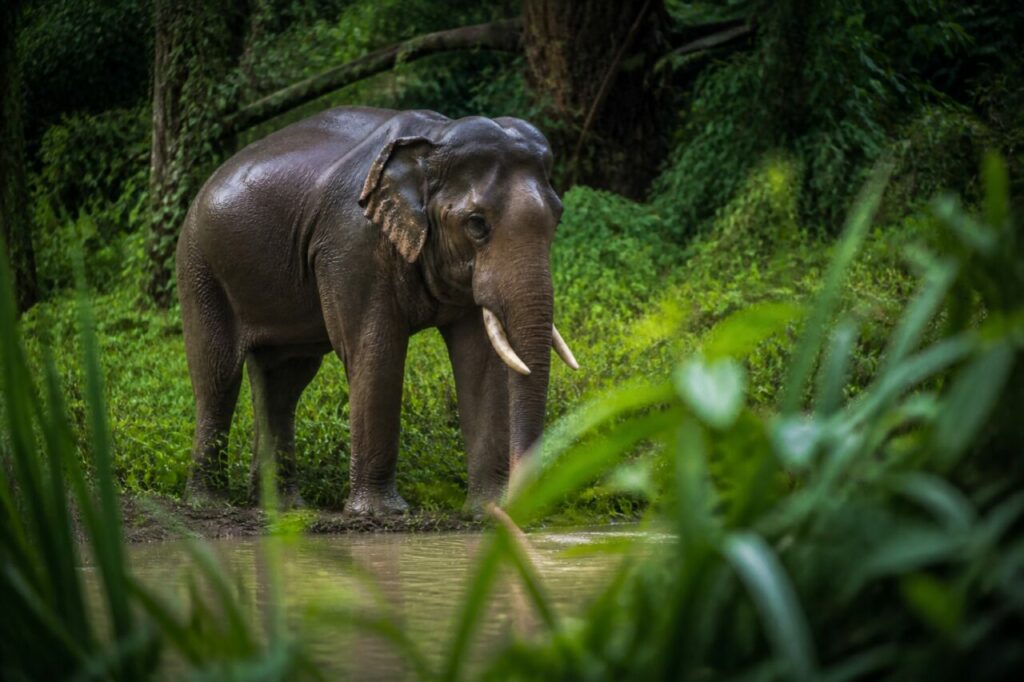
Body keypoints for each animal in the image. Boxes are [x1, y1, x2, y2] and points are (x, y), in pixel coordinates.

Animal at [176, 106, 578, 514]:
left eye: (558, 217)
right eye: (476, 224)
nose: (522, 499)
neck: (434, 137)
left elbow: (480, 361)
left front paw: (488, 510)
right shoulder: (352, 244)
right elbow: (375, 351)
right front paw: (383, 513)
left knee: (285, 379)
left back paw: (285, 509)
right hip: (199, 266)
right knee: (217, 373)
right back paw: (209, 503)